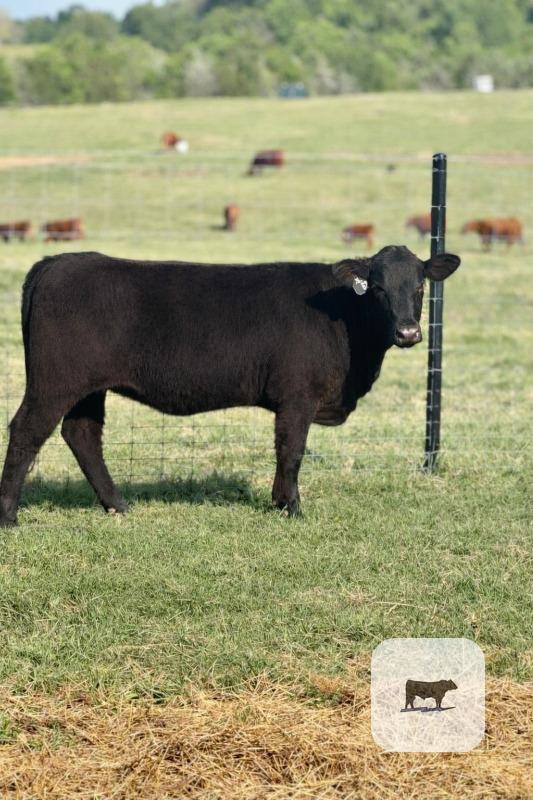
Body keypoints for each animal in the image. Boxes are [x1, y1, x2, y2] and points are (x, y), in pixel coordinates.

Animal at [0, 245, 460, 527]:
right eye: (378, 287)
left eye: (420, 286)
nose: (408, 332)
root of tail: (58, 262)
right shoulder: (298, 396)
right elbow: (291, 451)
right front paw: (292, 507)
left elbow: (284, 452)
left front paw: (279, 502)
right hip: (54, 381)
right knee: (26, 431)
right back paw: (9, 516)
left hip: (89, 387)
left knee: (82, 434)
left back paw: (119, 505)